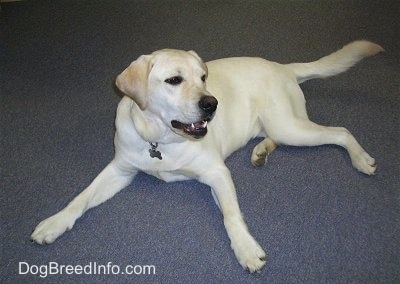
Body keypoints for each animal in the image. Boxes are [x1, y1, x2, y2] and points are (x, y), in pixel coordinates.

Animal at [30, 41, 382, 272]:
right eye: (174, 80)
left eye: (203, 77)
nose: (211, 103)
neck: (161, 139)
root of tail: (283, 66)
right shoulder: (120, 169)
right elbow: (81, 197)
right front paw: (54, 223)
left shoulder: (216, 172)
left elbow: (230, 215)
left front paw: (246, 249)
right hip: (277, 126)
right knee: (277, 138)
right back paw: (261, 152)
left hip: (288, 126)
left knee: (341, 132)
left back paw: (361, 159)